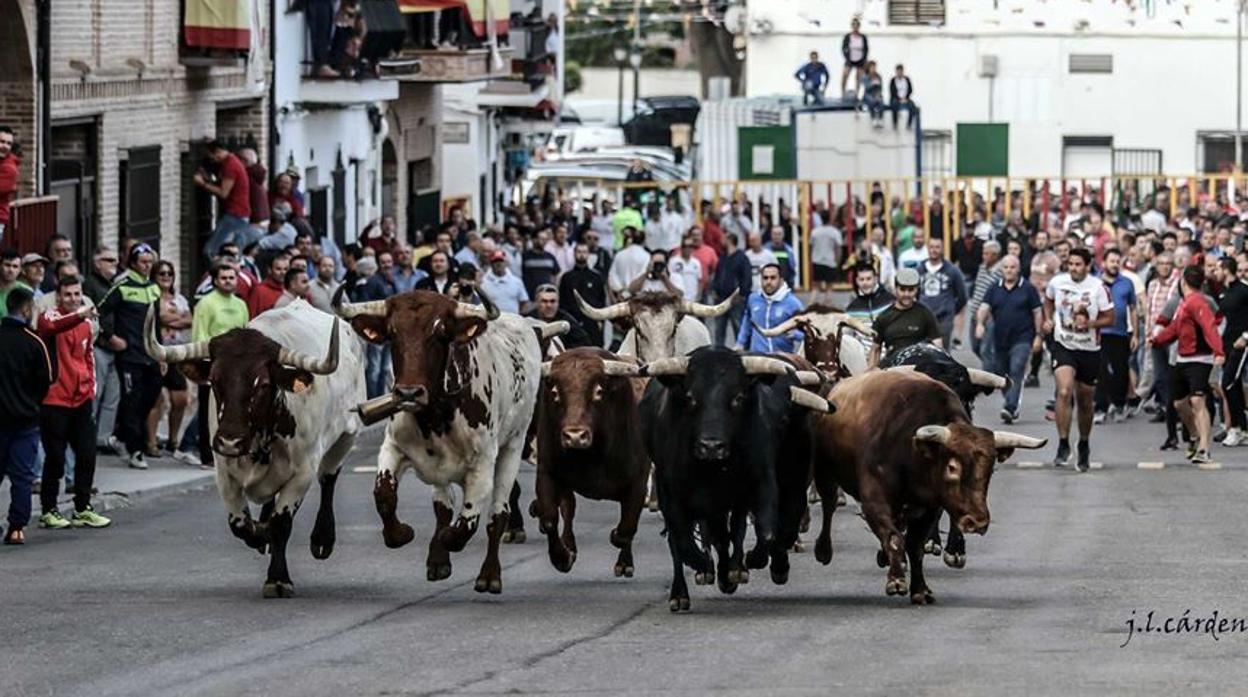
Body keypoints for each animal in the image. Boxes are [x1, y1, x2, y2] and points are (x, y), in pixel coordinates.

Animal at [144, 302, 364, 602]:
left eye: (262, 385)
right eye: (214, 380)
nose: (230, 441)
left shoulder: (303, 472)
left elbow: (281, 524)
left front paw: (278, 579)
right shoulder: (224, 473)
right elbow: (240, 525)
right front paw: (260, 533)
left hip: (346, 436)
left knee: (329, 478)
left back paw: (322, 539)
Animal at [334, 289, 539, 594]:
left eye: (441, 333)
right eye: (392, 334)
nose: (408, 393)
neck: (435, 417)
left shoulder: (483, 463)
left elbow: (466, 523)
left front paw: (448, 540)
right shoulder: (393, 447)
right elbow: (384, 494)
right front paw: (400, 534)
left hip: (513, 445)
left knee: (498, 513)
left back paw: (489, 575)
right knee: (443, 505)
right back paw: (438, 561)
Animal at [531, 347, 648, 579]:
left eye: (598, 391)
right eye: (555, 393)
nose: (575, 436)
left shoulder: (638, 480)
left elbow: (626, 528)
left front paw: (620, 549)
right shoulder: (547, 471)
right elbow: (549, 519)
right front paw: (562, 558)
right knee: (568, 508)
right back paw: (570, 547)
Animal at [808, 372, 1043, 607]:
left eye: (991, 469)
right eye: (952, 467)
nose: (977, 522)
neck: (912, 454)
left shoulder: (930, 508)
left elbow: (915, 546)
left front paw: (920, 589)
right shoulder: (874, 501)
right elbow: (893, 538)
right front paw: (896, 580)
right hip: (825, 473)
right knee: (829, 505)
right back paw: (824, 550)